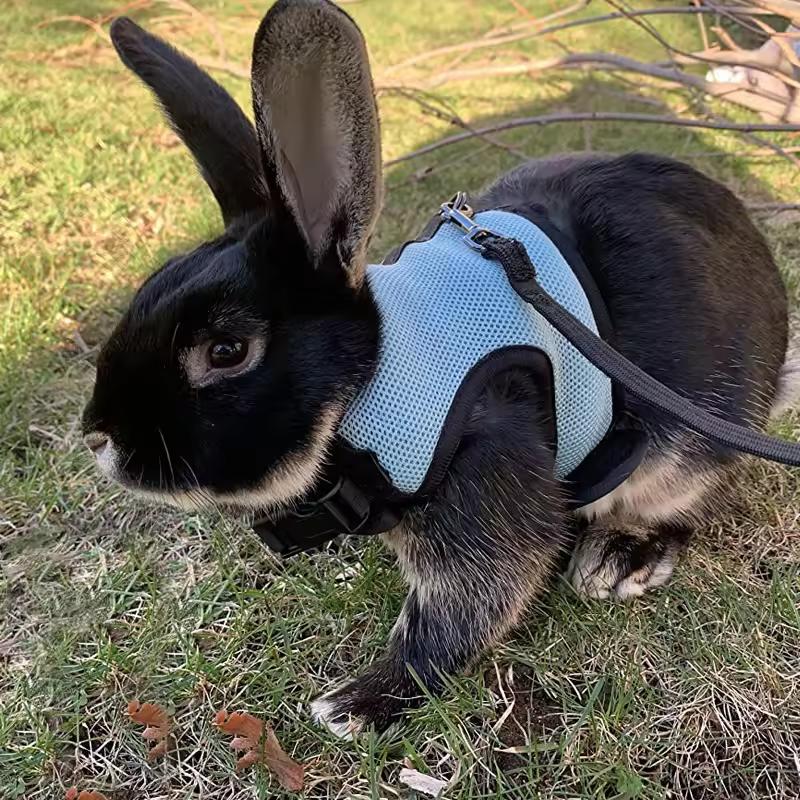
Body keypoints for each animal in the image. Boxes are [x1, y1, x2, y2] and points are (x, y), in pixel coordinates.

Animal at [83, 0, 794, 738]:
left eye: (226, 351)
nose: (99, 437)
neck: (369, 382)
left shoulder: (484, 472)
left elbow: (461, 610)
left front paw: (357, 705)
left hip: (683, 448)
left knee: (691, 501)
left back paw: (621, 557)